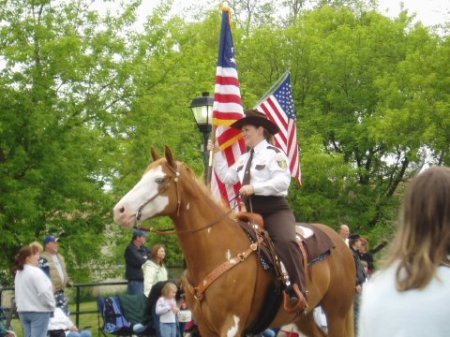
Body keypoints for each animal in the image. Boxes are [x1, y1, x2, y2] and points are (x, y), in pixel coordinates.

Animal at [114, 146, 356, 336]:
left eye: (160, 179)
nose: (120, 210)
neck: (217, 250)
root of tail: (339, 242)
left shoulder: (231, 323)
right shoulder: (205, 327)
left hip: (337, 312)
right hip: (303, 316)